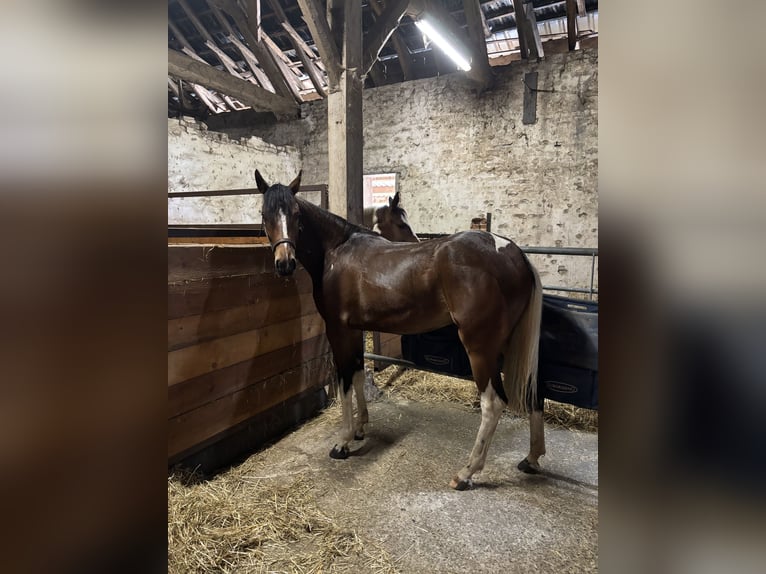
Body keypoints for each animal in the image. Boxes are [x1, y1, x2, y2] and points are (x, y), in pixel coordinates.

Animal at [256, 170, 544, 489]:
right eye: (264, 215)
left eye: (296, 214)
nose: (285, 264)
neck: (336, 251)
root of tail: (514, 253)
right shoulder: (354, 331)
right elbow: (359, 375)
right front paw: (360, 428)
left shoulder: (339, 331)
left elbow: (345, 382)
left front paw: (343, 442)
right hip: (507, 343)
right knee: (535, 392)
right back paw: (531, 459)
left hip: (481, 347)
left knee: (492, 403)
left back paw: (466, 472)